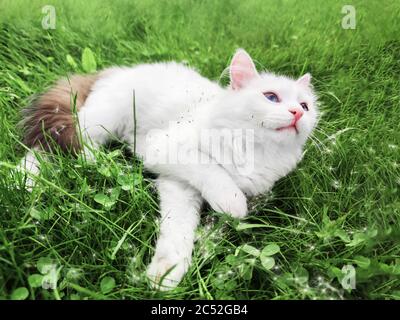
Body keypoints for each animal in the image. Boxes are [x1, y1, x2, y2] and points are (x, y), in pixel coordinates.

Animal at [18, 49, 318, 290]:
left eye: (305, 106)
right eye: (271, 97)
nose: (297, 114)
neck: (256, 152)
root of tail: (116, 70)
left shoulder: (180, 185)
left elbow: (182, 232)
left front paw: (167, 273)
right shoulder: (166, 149)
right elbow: (213, 172)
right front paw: (231, 202)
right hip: (100, 122)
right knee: (54, 147)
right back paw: (30, 179)